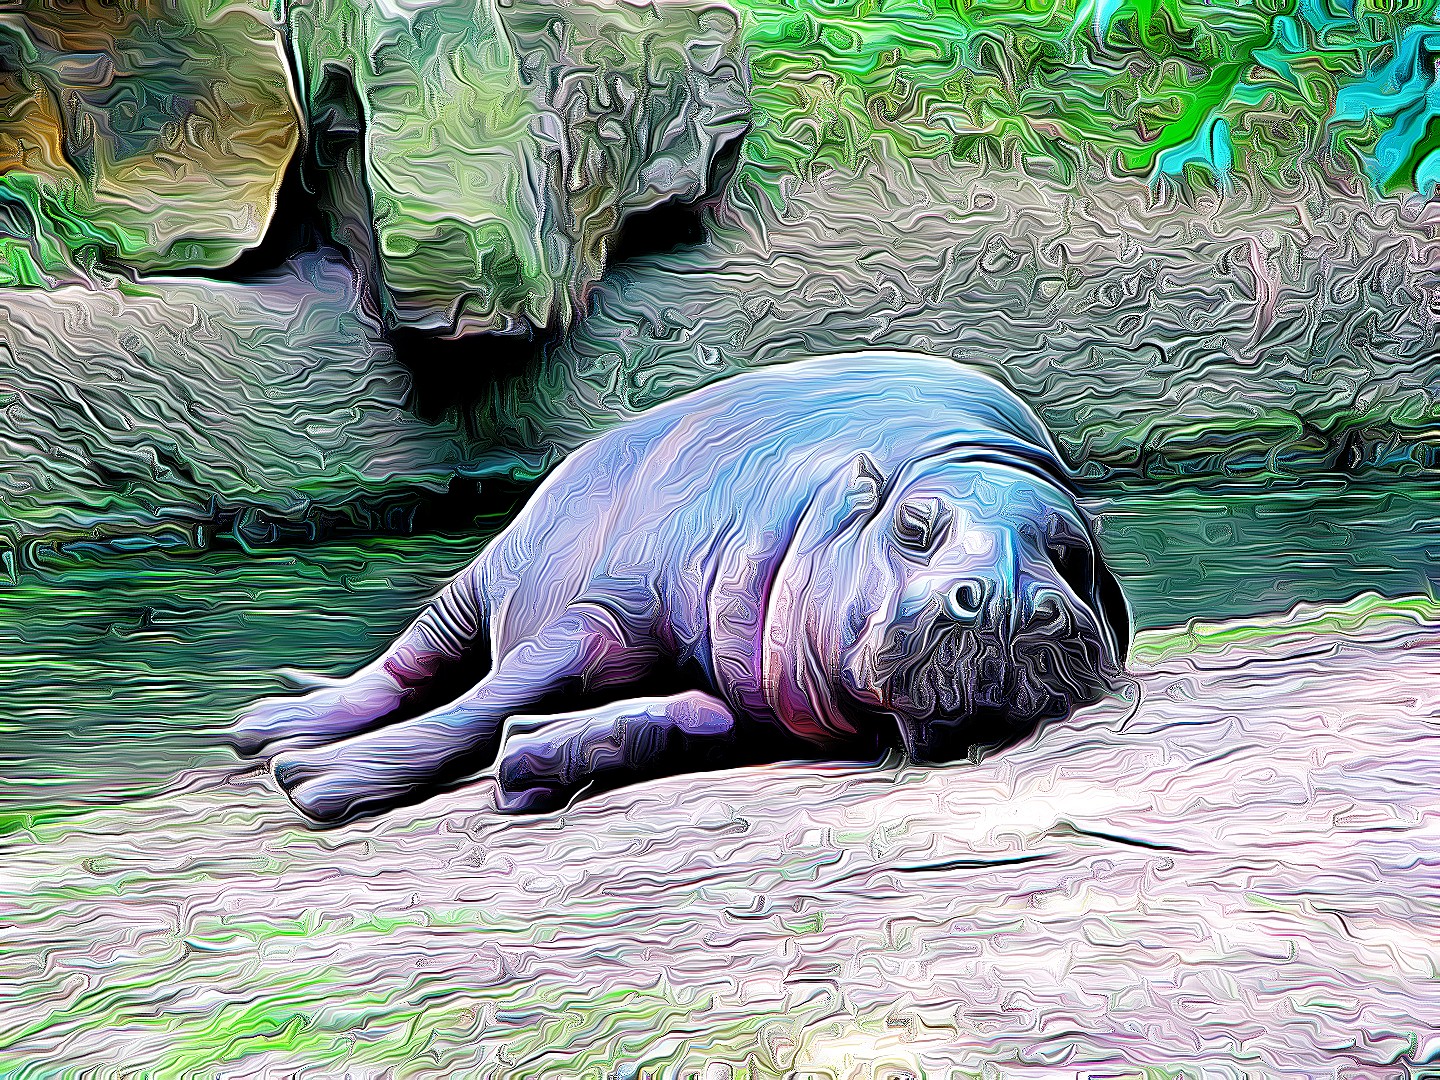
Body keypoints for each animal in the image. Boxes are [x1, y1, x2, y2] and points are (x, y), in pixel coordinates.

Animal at [228, 352, 1130, 822]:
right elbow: (481, 704)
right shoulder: (601, 614)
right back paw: (269, 731)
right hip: (479, 581)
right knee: (414, 663)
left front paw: (532, 759)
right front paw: (313, 784)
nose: (1007, 596)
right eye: (915, 526)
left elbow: (696, 716)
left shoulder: (762, 695)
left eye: (1072, 553)